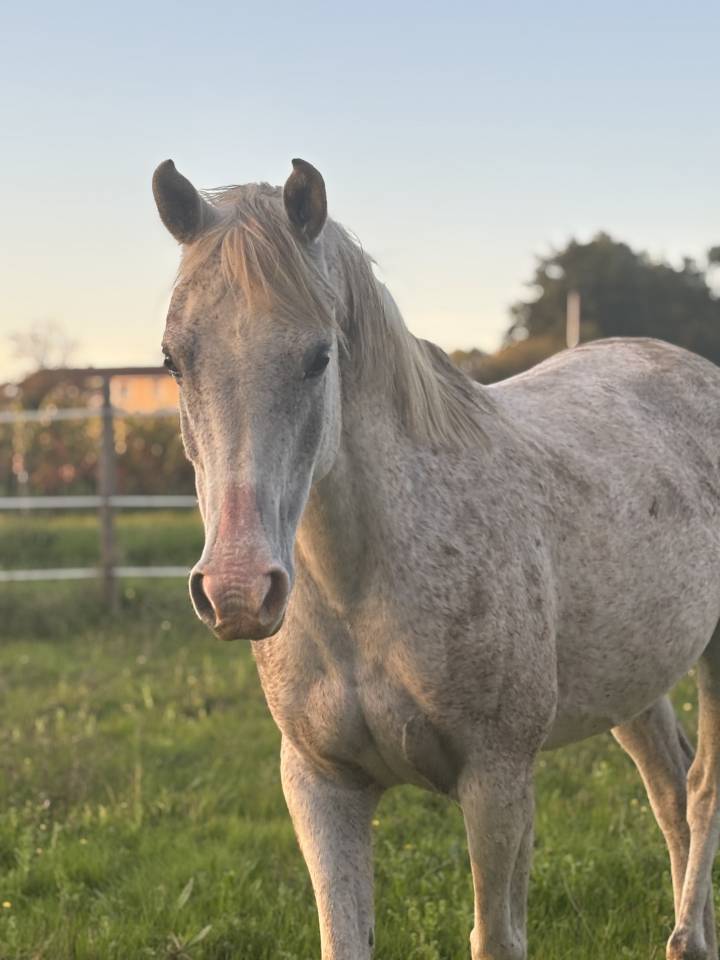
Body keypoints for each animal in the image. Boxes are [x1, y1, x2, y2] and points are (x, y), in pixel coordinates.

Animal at [152, 156, 720, 960]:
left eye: (318, 356)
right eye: (173, 360)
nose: (237, 591)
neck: (365, 587)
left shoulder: (498, 782)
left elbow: (497, 936)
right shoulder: (321, 785)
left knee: (701, 793)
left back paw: (689, 937)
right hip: (635, 681)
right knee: (670, 790)